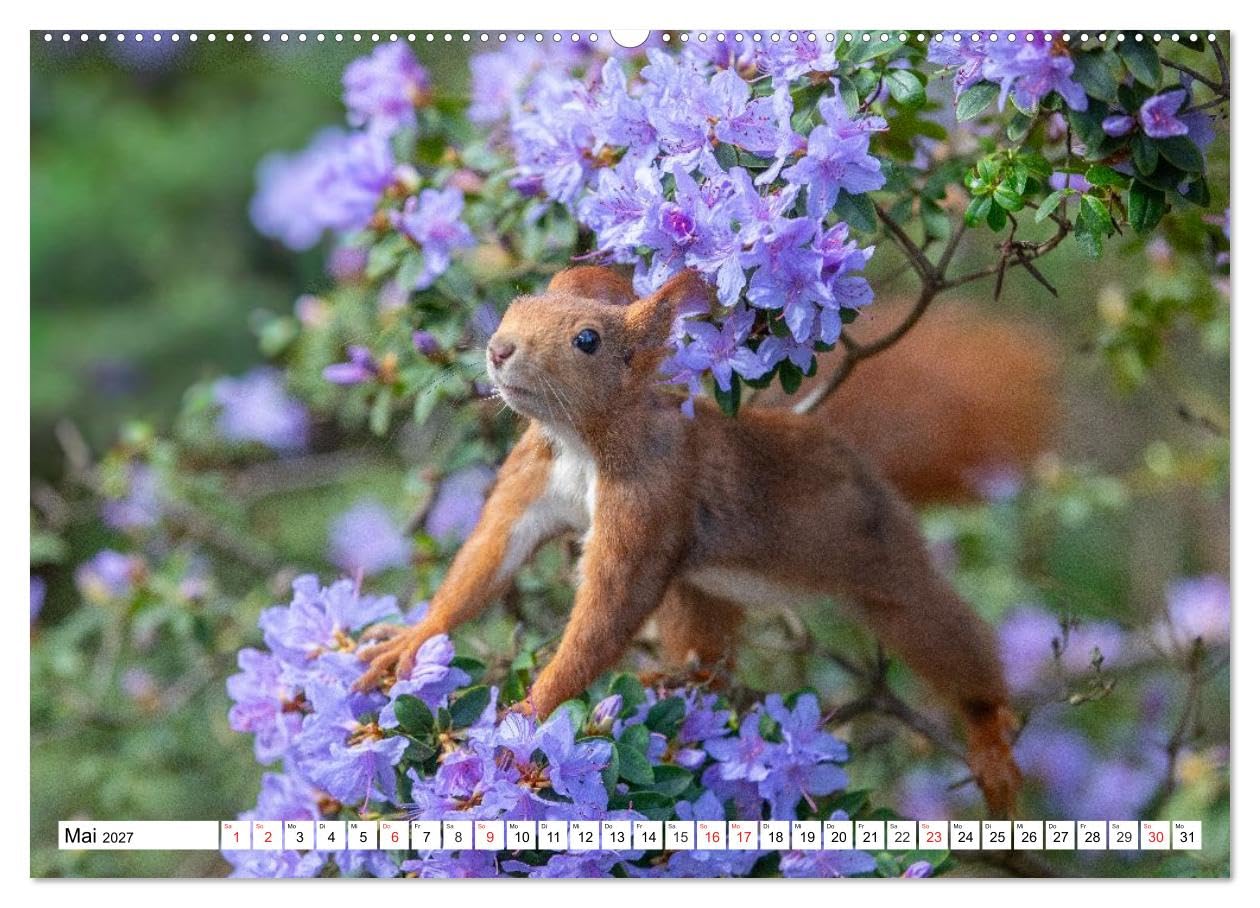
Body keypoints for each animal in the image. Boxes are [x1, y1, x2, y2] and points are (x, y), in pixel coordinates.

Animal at [356, 265, 1056, 817]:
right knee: (707, 642)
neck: (584, 442)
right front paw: (411, 642)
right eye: (514, 308)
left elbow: (609, 605)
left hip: (884, 560)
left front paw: (531, 711)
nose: (499, 348)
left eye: (588, 340)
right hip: (700, 588)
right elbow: (489, 555)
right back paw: (684, 686)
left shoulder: (650, 495)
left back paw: (989, 735)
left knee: (940, 632)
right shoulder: (535, 476)